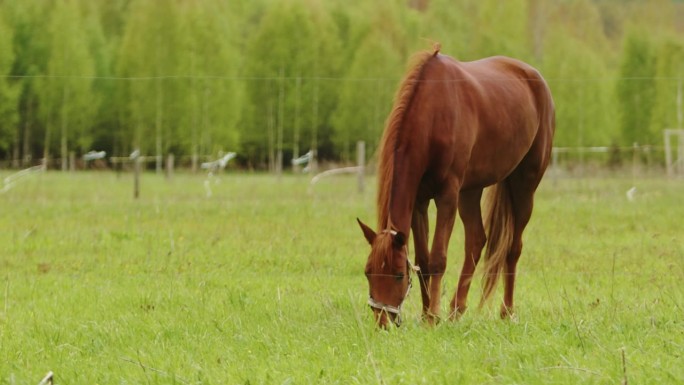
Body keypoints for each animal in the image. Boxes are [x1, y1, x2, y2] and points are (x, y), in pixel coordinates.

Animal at [358, 46, 556, 326]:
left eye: (397, 274)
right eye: (368, 272)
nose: (382, 322)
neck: (433, 114)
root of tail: (536, 78)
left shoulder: (447, 196)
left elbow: (438, 258)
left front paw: (432, 318)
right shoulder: (419, 201)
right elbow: (423, 260)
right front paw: (426, 313)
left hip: (524, 186)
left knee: (513, 248)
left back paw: (506, 311)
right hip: (470, 191)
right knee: (476, 239)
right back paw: (456, 309)